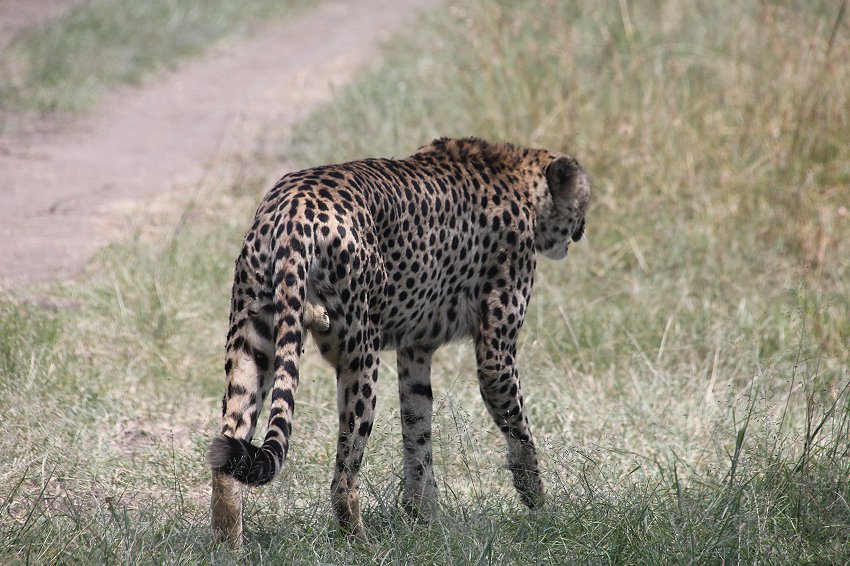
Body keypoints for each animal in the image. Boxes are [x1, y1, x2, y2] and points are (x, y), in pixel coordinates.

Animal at [209, 135, 588, 548]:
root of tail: (295, 204)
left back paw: (228, 546)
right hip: (360, 355)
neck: (517, 174)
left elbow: (418, 431)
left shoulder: (415, 349)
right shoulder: (495, 355)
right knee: (343, 476)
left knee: (227, 453)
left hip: (251, 344)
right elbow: (519, 430)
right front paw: (538, 503)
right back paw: (361, 544)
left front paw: (425, 518)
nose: (582, 230)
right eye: (584, 200)